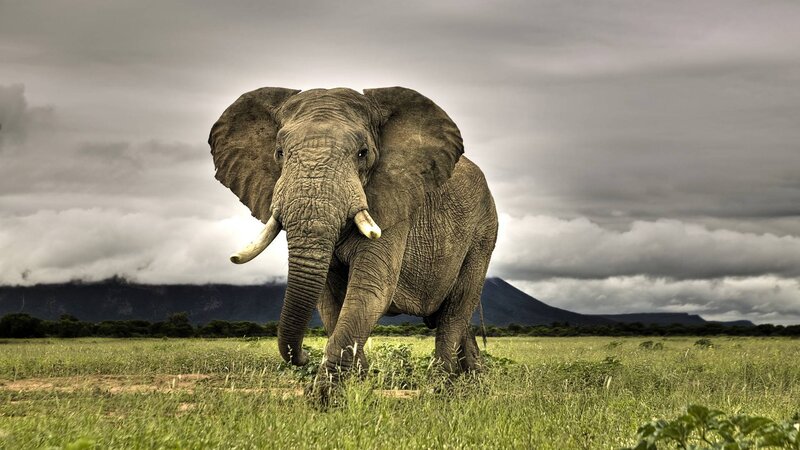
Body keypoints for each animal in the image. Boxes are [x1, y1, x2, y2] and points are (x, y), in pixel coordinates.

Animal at [208, 86, 498, 392]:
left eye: (363, 153)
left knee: (456, 310)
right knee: (453, 317)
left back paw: (441, 388)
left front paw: (326, 397)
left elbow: (370, 289)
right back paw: (472, 383)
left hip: (483, 232)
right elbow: (329, 300)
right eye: (279, 152)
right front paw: (358, 386)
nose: (301, 356)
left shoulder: (394, 203)